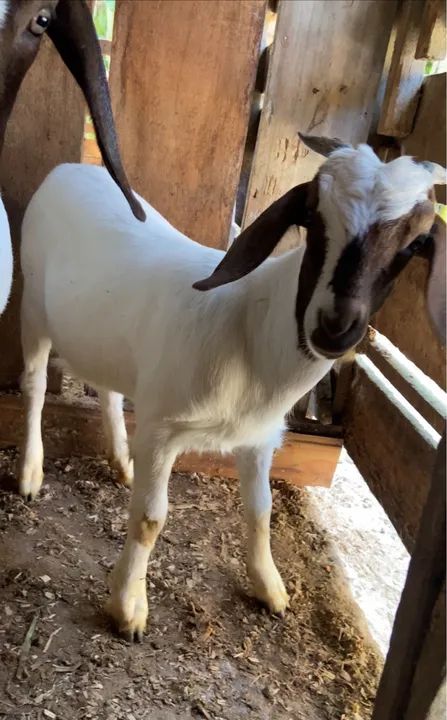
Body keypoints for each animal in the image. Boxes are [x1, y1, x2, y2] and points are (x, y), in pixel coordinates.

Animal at [19, 133, 446, 641]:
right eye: (312, 217)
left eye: (416, 244)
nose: (335, 327)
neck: (249, 330)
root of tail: (68, 168)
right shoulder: (162, 430)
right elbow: (149, 520)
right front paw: (128, 608)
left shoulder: (259, 437)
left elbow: (261, 511)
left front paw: (271, 589)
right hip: (32, 304)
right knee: (35, 386)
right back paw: (30, 473)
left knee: (108, 388)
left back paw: (121, 462)